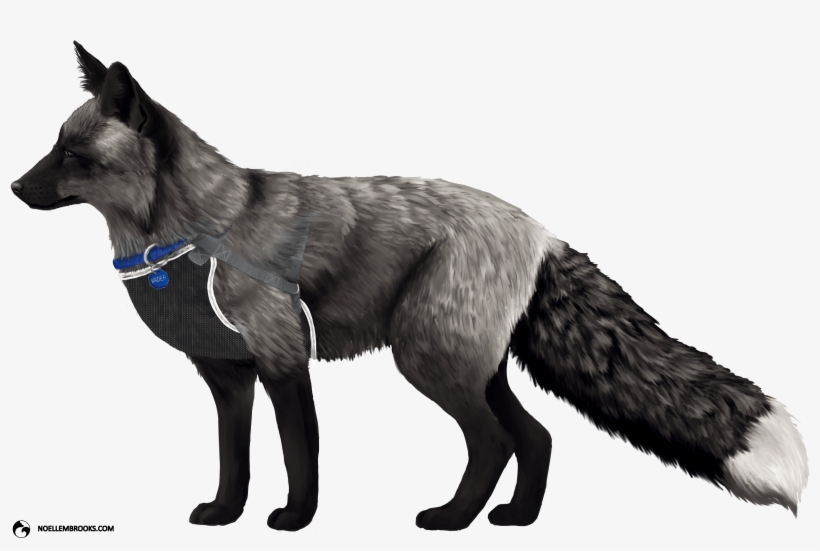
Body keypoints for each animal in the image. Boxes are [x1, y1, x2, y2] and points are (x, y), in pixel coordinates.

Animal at [10, 42, 809, 532]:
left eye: (74, 156)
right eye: (55, 145)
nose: (15, 188)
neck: (200, 234)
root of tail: (540, 228)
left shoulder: (283, 360)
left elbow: (300, 455)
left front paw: (295, 521)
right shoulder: (228, 376)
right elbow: (234, 458)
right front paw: (225, 514)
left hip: (427, 359)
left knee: (494, 441)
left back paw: (452, 519)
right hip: (469, 365)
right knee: (537, 436)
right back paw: (515, 520)